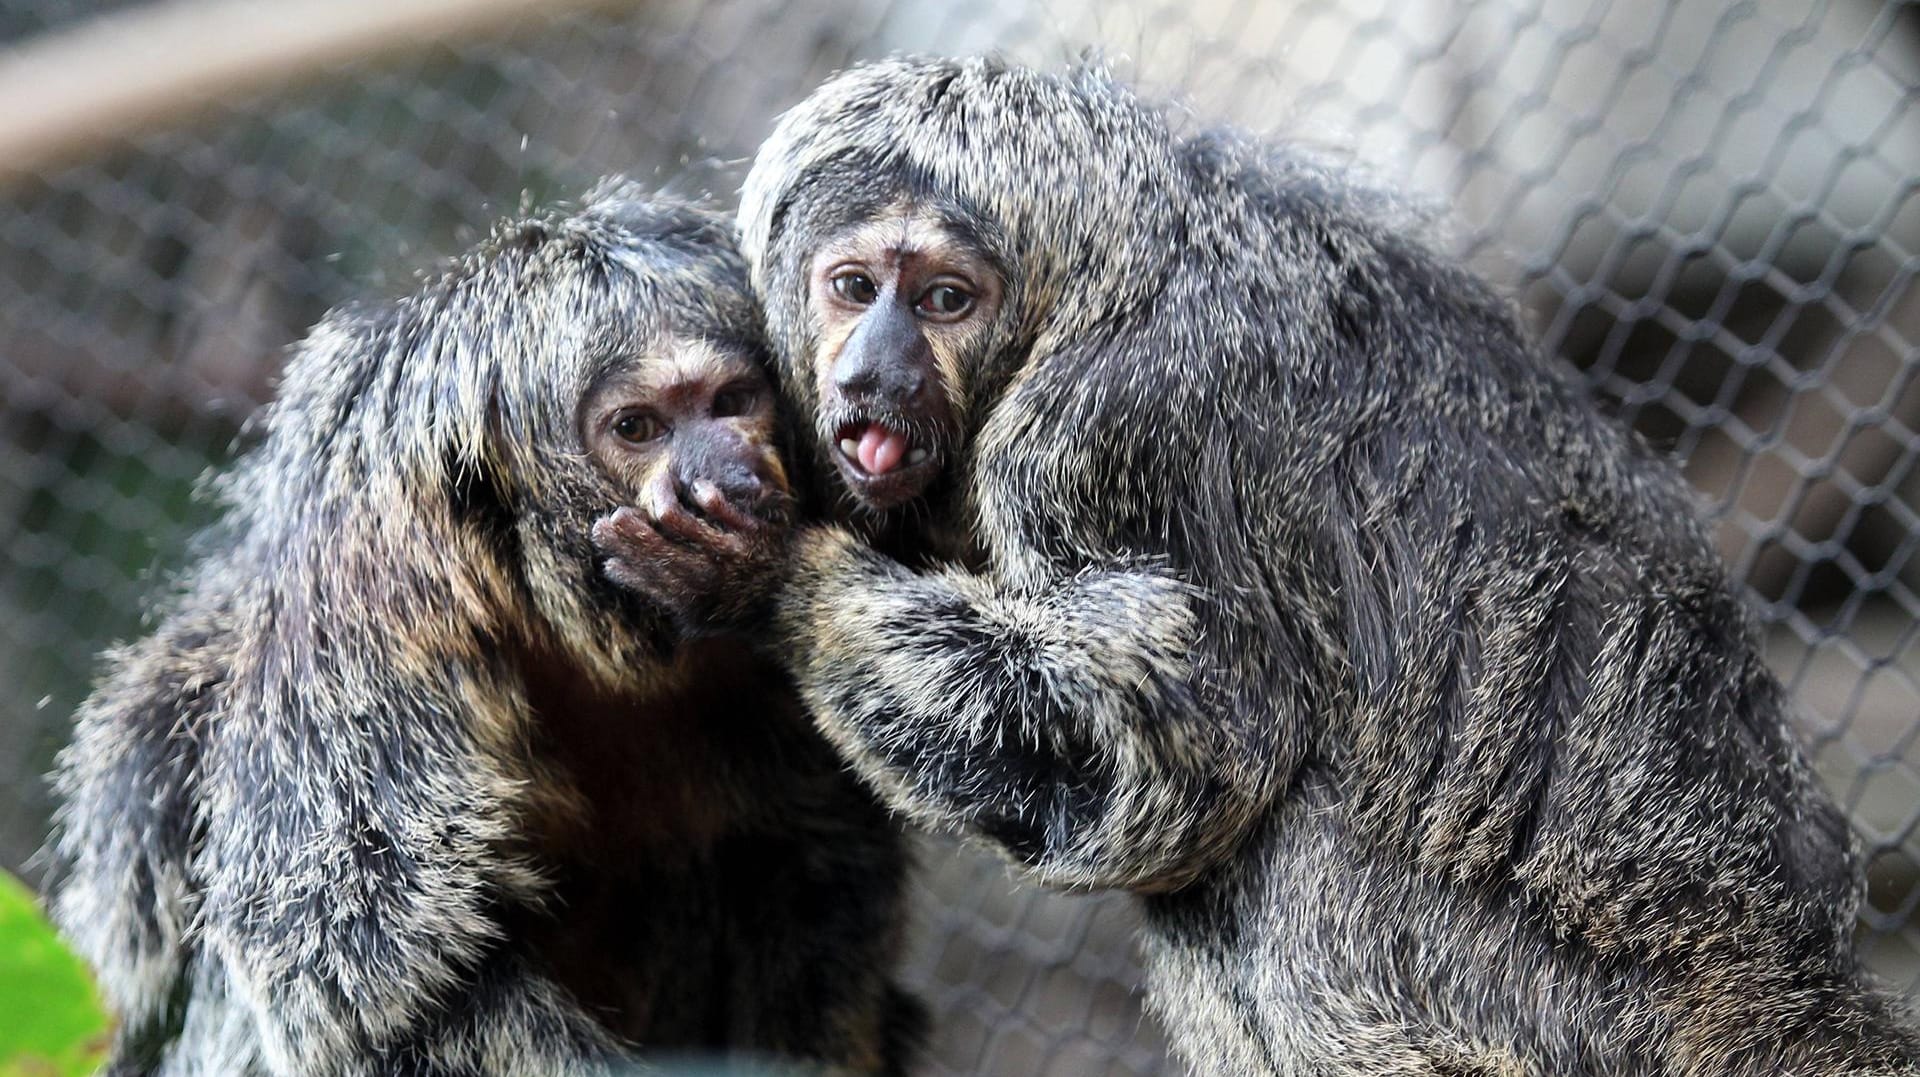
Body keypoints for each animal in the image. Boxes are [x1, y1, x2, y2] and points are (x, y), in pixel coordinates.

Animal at [45, 184, 913, 1075]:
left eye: (732, 403)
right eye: (638, 428)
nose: (726, 476)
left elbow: (820, 853)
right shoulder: (374, 594)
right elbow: (371, 980)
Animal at [629, 56, 1920, 1075]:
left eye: (944, 299)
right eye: (852, 288)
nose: (872, 374)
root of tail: (1778, 969)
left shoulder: (1102, 427)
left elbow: (1181, 748)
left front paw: (771, 574)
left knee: (1273, 851)